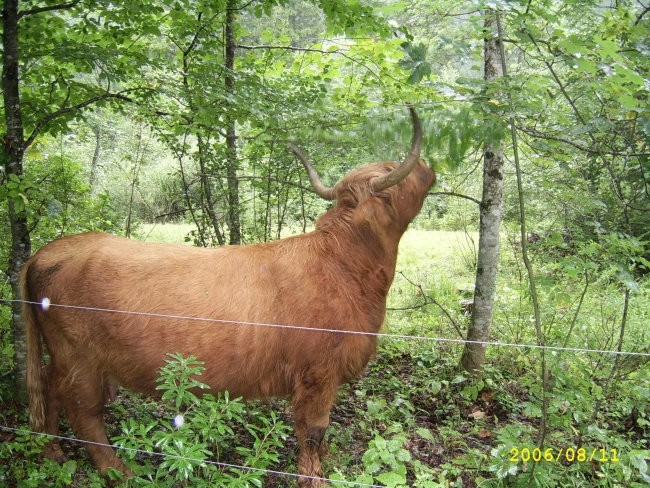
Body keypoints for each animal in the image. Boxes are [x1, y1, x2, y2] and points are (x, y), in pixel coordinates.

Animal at [21, 107, 436, 484]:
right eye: (393, 170)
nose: (428, 167)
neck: (344, 263)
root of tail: (50, 250)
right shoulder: (319, 374)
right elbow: (313, 432)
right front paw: (314, 477)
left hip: (66, 359)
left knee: (47, 390)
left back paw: (51, 452)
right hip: (80, 360)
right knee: (83, 413)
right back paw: (117, 470)